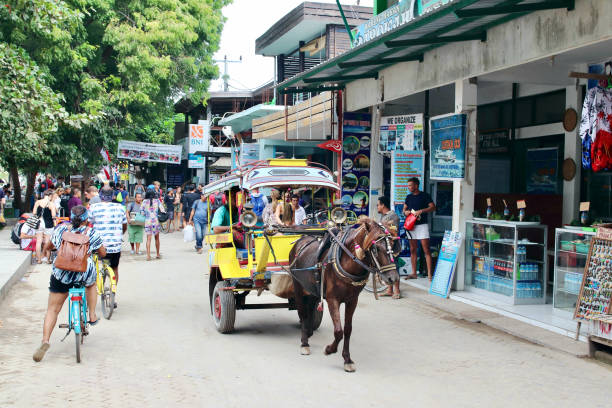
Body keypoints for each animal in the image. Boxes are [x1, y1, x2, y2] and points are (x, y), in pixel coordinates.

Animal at [288, 218, 400, 372]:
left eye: (394, 245)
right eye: (376, 248)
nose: (393, 278)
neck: (348, 262)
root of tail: (301, 240)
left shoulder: (352, 300)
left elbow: (347, 330)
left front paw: (347, 359)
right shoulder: (332, 299)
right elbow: (338, 331)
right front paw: (329, 349)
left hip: (312, 289)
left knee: (310, 307)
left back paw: (309, 331)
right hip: (298, 285)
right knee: (302, 312)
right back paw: (304, 343)